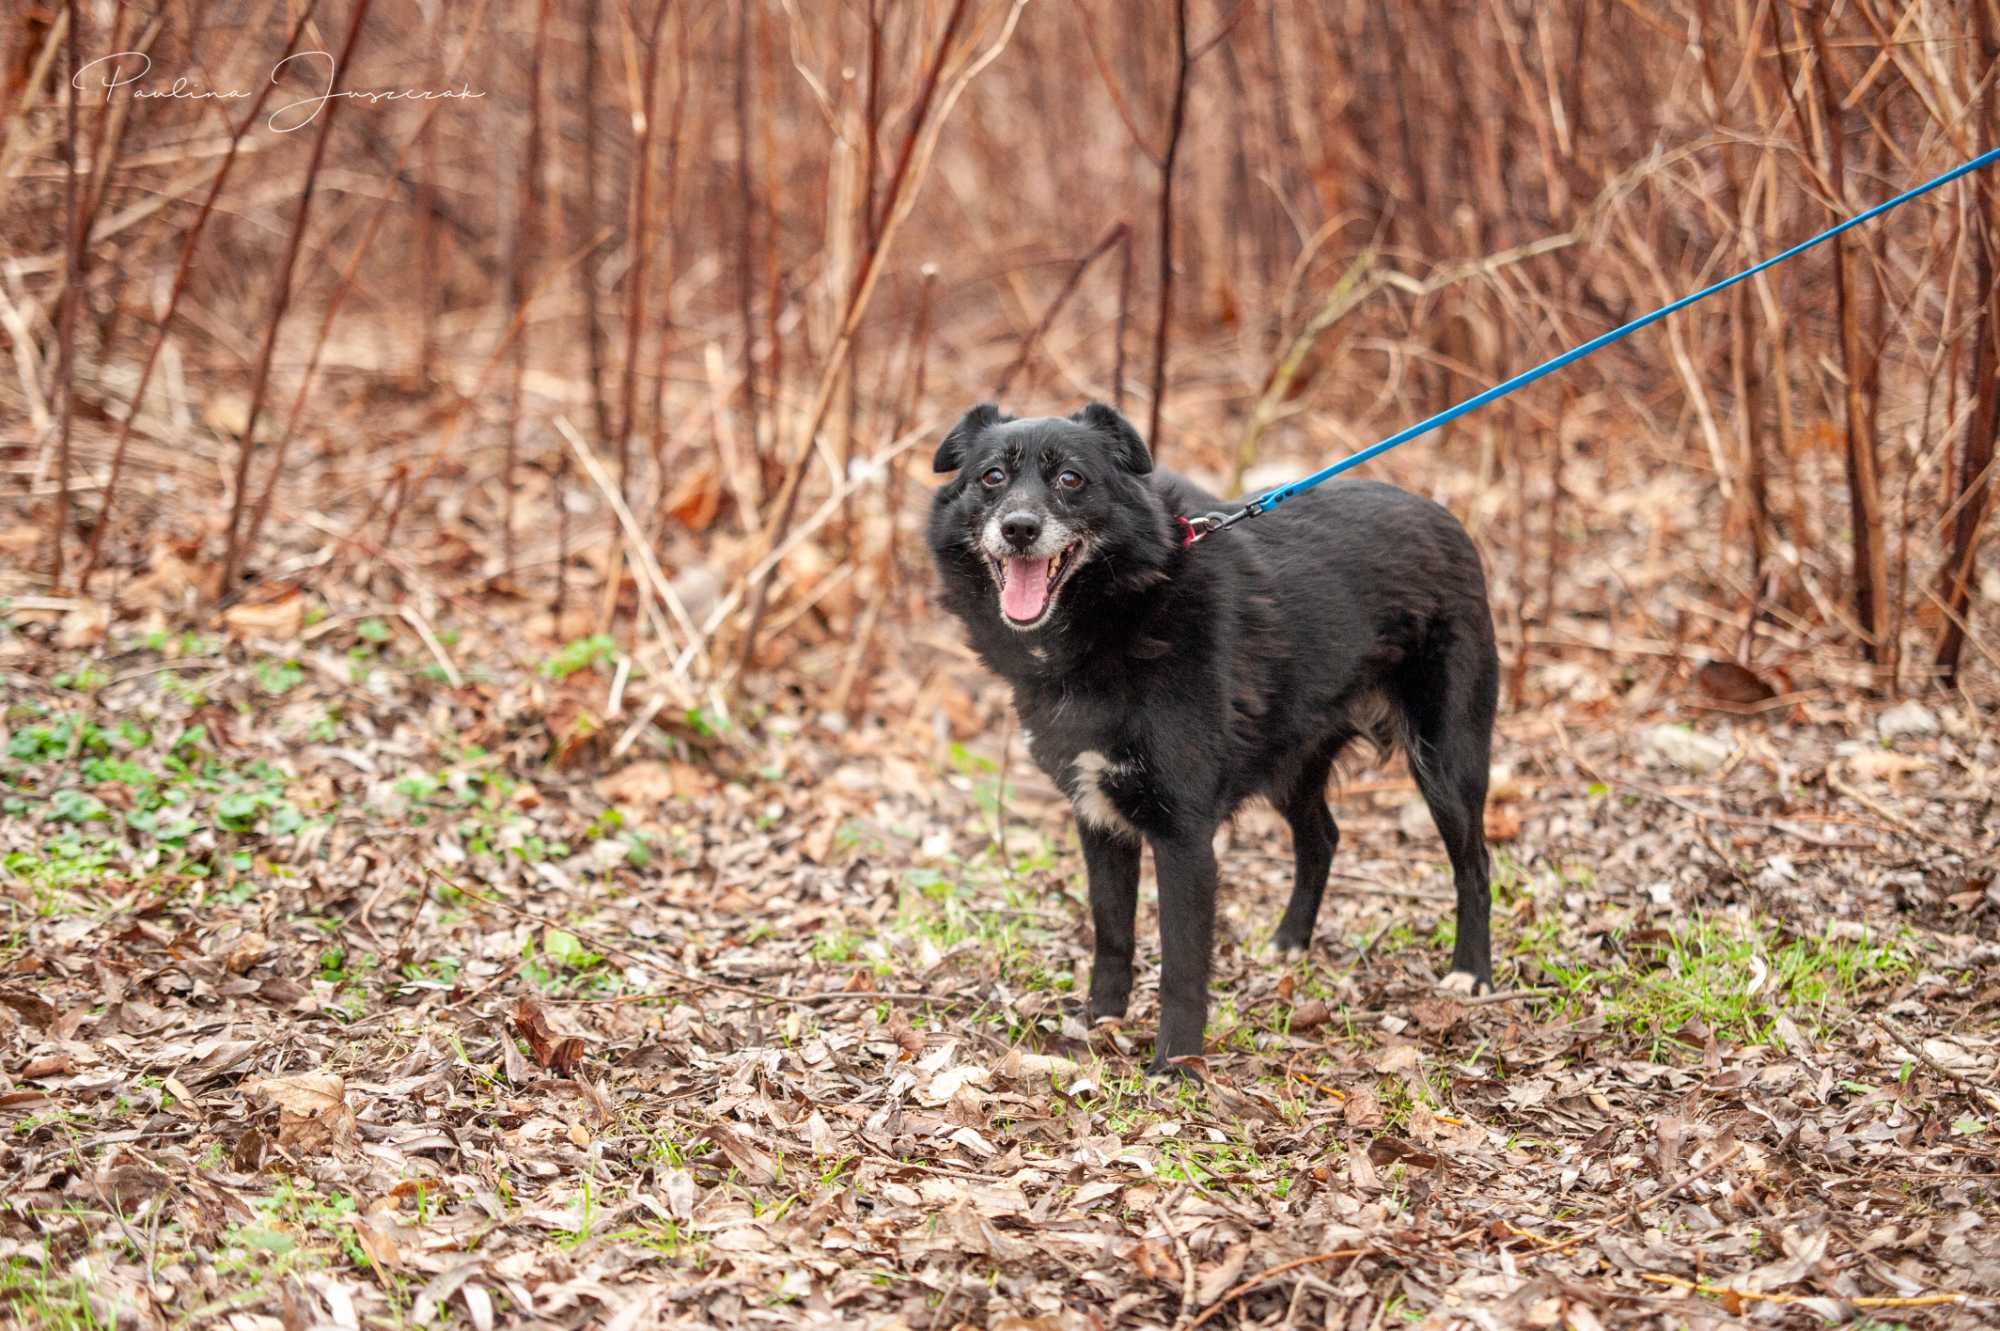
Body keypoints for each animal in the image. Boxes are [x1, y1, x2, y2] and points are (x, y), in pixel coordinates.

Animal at [928, 399, 1496, 1071]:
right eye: (992, 477)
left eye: (1070, 479)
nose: (1018, 528)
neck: (1122, 611)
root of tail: (1444, 515)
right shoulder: (1098, 815)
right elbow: (1112, 930)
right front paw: (1100, 1019)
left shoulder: (1185, 836)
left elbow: (1181, 965)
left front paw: (1175, 1067)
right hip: (1294, 759)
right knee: (1322, 838)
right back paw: (1289, 942)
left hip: (1447, 758)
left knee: (1475, 863)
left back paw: (1471, 973)